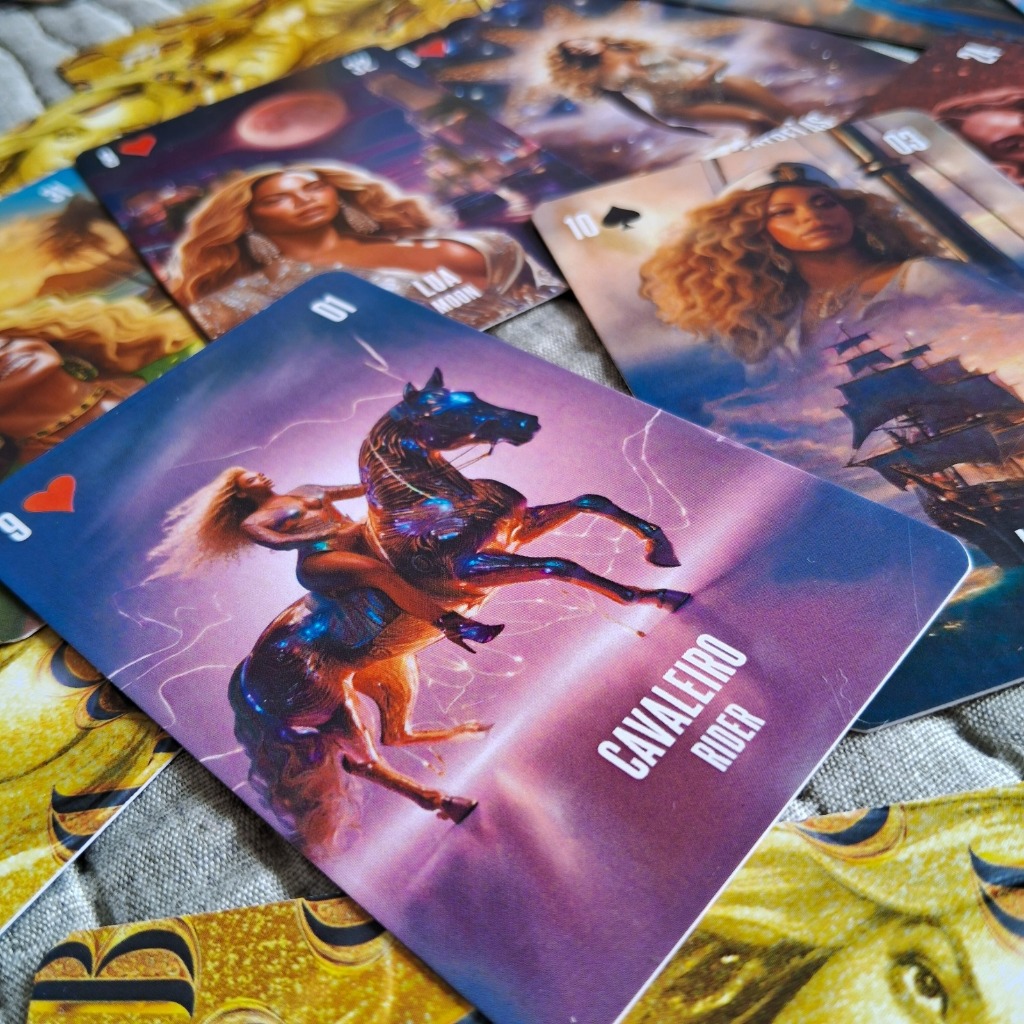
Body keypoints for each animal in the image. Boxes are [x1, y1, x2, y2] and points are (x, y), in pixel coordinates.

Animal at [230, 368, 689, 847]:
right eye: (442, 411)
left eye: (473, 395)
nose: (527, 422)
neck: (430, 505)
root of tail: (244, 675)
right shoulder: (473, 566)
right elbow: (559, 564)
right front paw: (654, 596)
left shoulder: (512, 533)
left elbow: (591, 501)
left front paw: (661, 550)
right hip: (335, 709)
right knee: (364, 762)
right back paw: (453, 801)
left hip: (393, 673)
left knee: (394, 735)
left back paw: (471, 737)